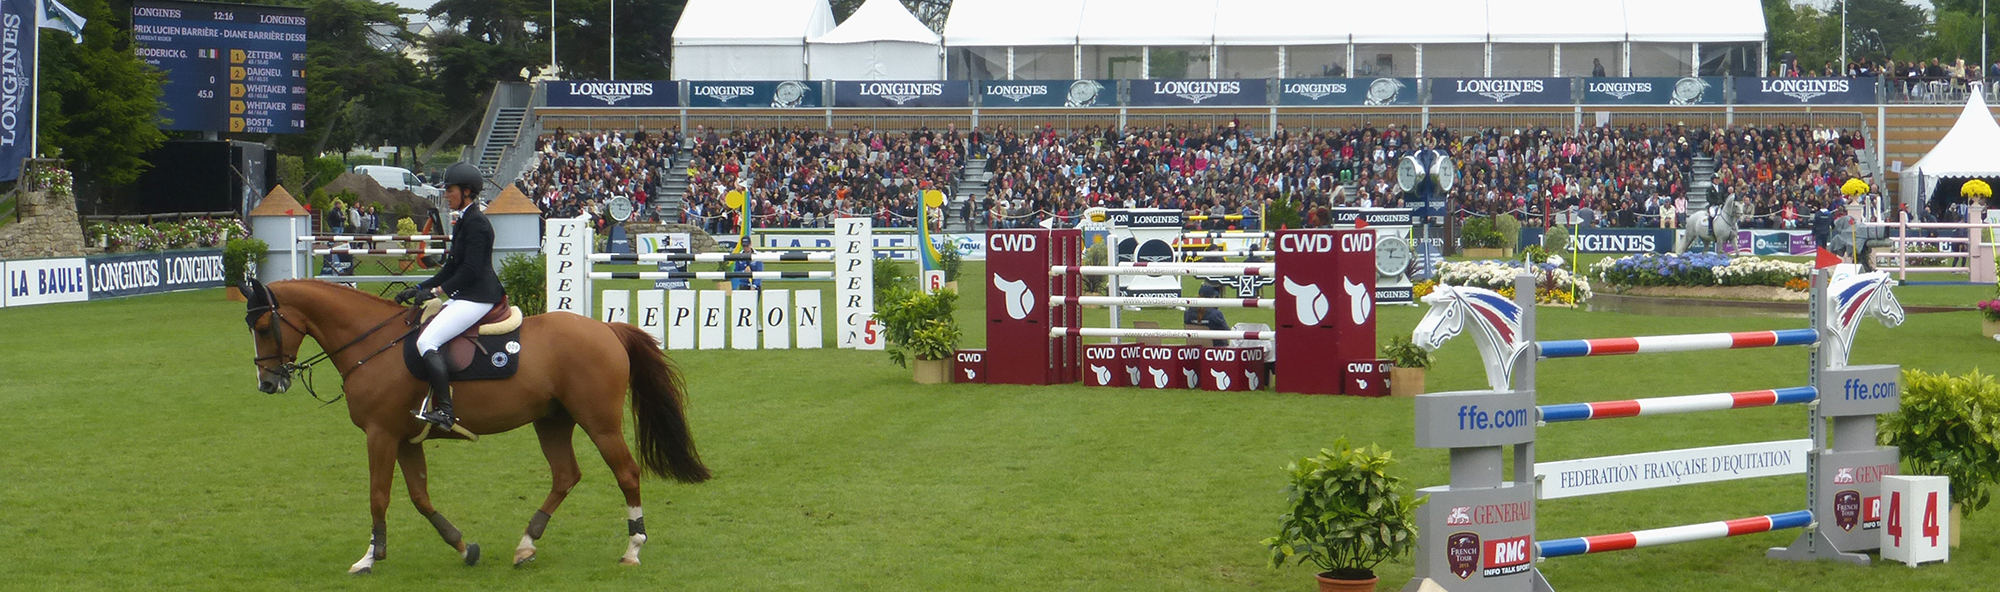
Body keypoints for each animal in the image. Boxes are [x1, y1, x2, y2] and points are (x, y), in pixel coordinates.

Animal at [241, 280, 712, 576]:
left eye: (263, 326)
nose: (267, 382)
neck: (372, 344)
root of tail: (607, 328)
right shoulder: (404, 439)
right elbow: (420, 498)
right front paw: (464, 547)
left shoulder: (380, 435)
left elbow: (378, 496)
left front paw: (369, 559)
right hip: (552, 420)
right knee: (566, 475)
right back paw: (526, 545)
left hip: (599, 422)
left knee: (626, 473)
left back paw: (632, 549)